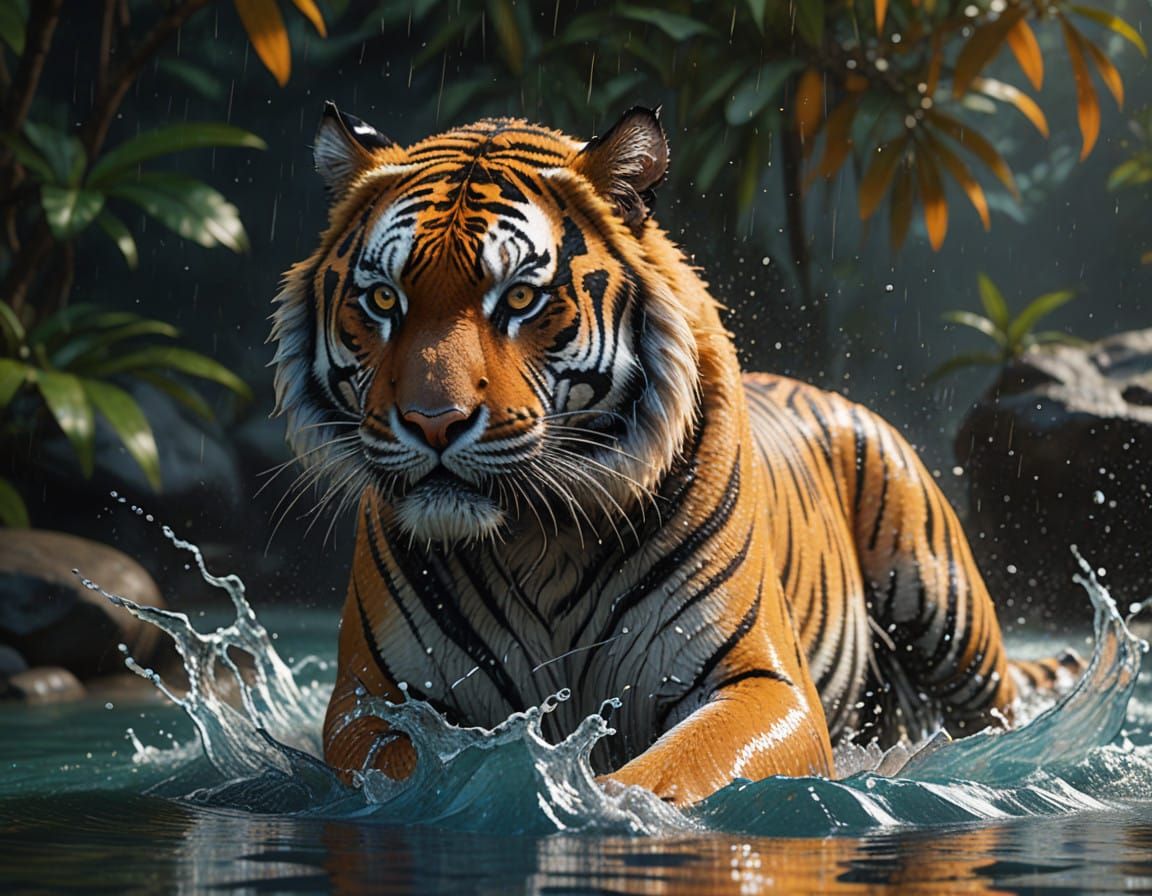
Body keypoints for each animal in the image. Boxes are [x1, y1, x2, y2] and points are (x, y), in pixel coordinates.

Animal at [271, 103, 1080, 806]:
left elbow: (685, 766)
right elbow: (403, 769)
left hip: (946, 612)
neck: (537, 537)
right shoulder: (374, 699)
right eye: (383, 300)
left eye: (522, 299)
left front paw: (600, 807)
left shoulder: (760, 679)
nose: (432, 424)